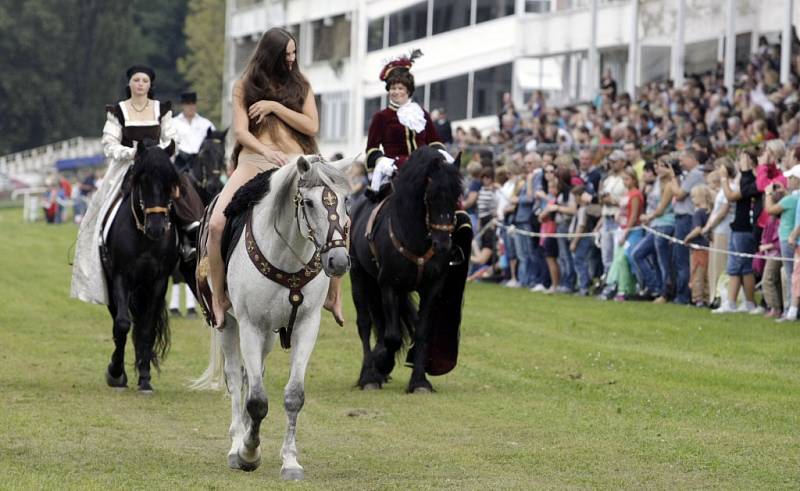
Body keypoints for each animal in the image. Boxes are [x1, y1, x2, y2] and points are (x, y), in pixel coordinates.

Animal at [103, 141, 181, 392]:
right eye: (142, 181)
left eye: (170, 183)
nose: (156, 228)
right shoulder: (120, 277)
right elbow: (122, 324)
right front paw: (116, 372)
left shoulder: (158, 281)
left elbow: (146, 328)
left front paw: (145, 378)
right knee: (120, 321)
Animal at [192, 157, 352, 480]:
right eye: (309, 202)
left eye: (345, 200)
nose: (338, 260)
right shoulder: (250, 326)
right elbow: (256, 401)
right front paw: (248, 452)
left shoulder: (306, 327)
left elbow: (293, 396)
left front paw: (290, 461)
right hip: (230, 325)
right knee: (235, 377)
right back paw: (236, 443)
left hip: (266, 335)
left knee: (250, 376)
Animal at [350, 145, 468, 392]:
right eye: (431, 195)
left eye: (457, 196)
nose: (443, 245)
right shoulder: (388, 285)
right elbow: (392, 336)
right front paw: (382, 363)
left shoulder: (431, 288)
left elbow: (421, 331)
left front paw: (419, 381)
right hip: (360, 278)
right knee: (365, 324)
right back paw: (369, 375)